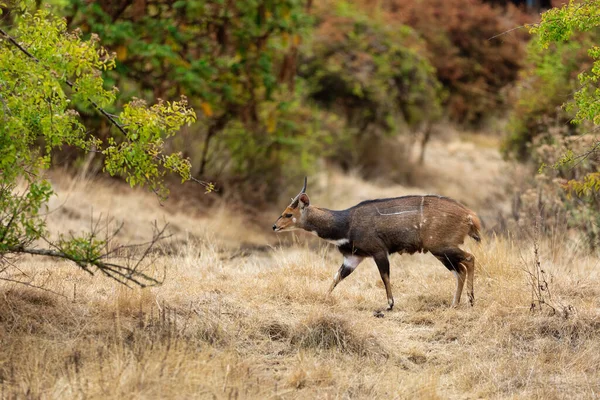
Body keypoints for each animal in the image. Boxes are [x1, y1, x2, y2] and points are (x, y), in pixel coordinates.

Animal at [274, 177, 482, 314]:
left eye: (288, 214)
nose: (274, 226)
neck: (346, 224)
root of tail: (470, 216)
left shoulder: (379, 251)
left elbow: (384, 276)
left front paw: (389, 305)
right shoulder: (353, 258)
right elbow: (336, 277)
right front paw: (323, 299)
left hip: (440, 247)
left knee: (470, 259)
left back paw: (471, 301)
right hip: (440, 251)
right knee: (461, 269)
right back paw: (456, 304)